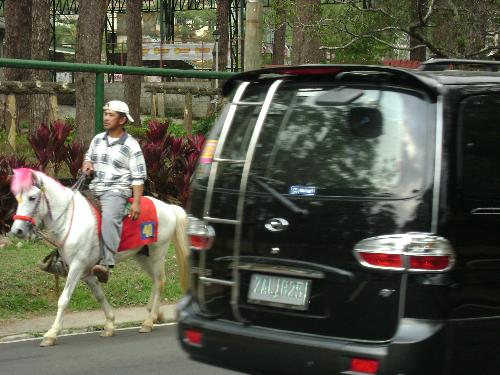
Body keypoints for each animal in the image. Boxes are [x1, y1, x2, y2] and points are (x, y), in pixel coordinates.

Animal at [8, 169, 188, 348]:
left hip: (157, 253)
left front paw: (51, 334)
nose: (17, 230)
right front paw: (109, 324)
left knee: (160, 281)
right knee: (156, 281)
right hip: (142, 256)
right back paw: (155, 313)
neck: (70, 220)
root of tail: (169, 207)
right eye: (17, 197)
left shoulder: (77, 266)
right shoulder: (86, 272)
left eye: (32, 197)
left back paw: (149, 321)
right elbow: (100, 296)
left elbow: (64, 300)